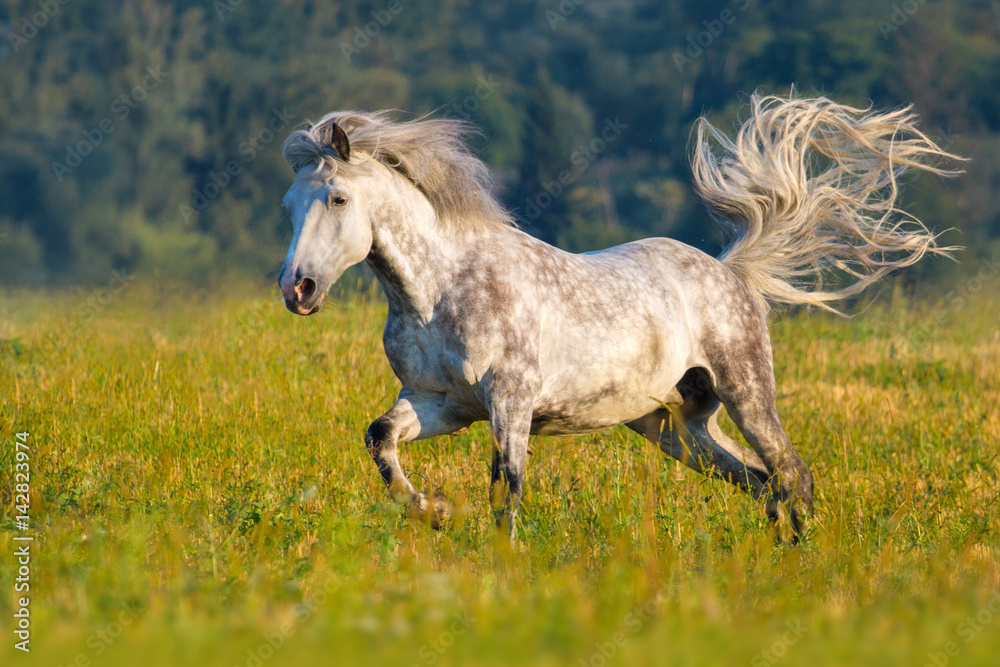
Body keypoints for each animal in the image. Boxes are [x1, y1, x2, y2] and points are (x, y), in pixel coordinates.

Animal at [278, 94, 956, 544]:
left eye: (338, 198)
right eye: (288, 204)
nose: (297, 289)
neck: (441, 290)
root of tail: (729, 271)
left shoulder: (510, 400)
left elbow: (506, 484)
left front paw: (500, 556)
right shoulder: (436, 401)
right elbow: (381, 440)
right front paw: (433, 509)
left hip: (746, 392)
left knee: (792, 473)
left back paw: (801, 556)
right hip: (677, 426)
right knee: (760, 480)